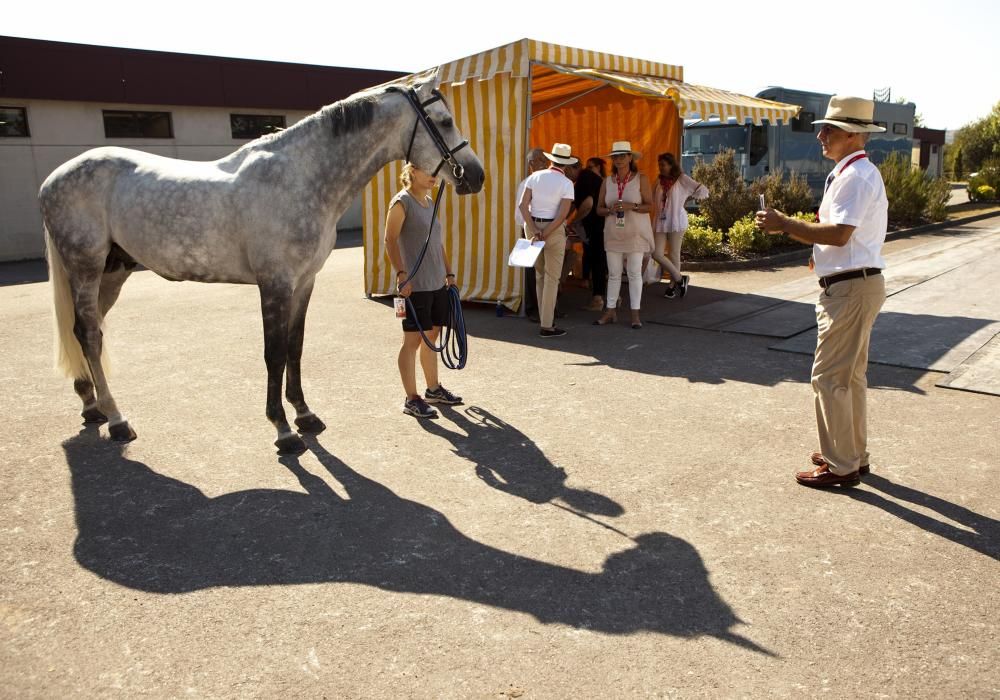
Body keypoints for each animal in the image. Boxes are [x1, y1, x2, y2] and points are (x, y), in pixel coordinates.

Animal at [41, 78, 486, 454]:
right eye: (444, 121)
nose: (476, 176)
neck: (300, 177)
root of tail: (54, 178)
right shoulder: (275, 283)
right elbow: (274, 353)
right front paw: (283, 429)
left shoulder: (304, 282)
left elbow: (295, 347)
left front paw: (305, 415)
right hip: (85, 268)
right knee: (89, 335)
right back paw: (117, 420)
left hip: (112, 272)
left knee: (89, 332)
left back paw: (92, 405)